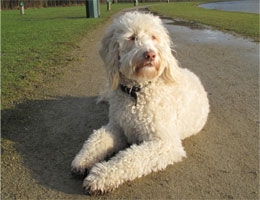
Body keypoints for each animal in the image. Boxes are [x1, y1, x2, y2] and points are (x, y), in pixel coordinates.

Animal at [70, 11, 209, 195]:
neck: (136, 92)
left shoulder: (164, 143)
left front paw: (100, 176)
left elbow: (129, 157)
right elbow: (97, 138)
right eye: (132, 37)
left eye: (154, 37)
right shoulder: (117, 127)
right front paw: (83, 159)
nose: (150, 54)